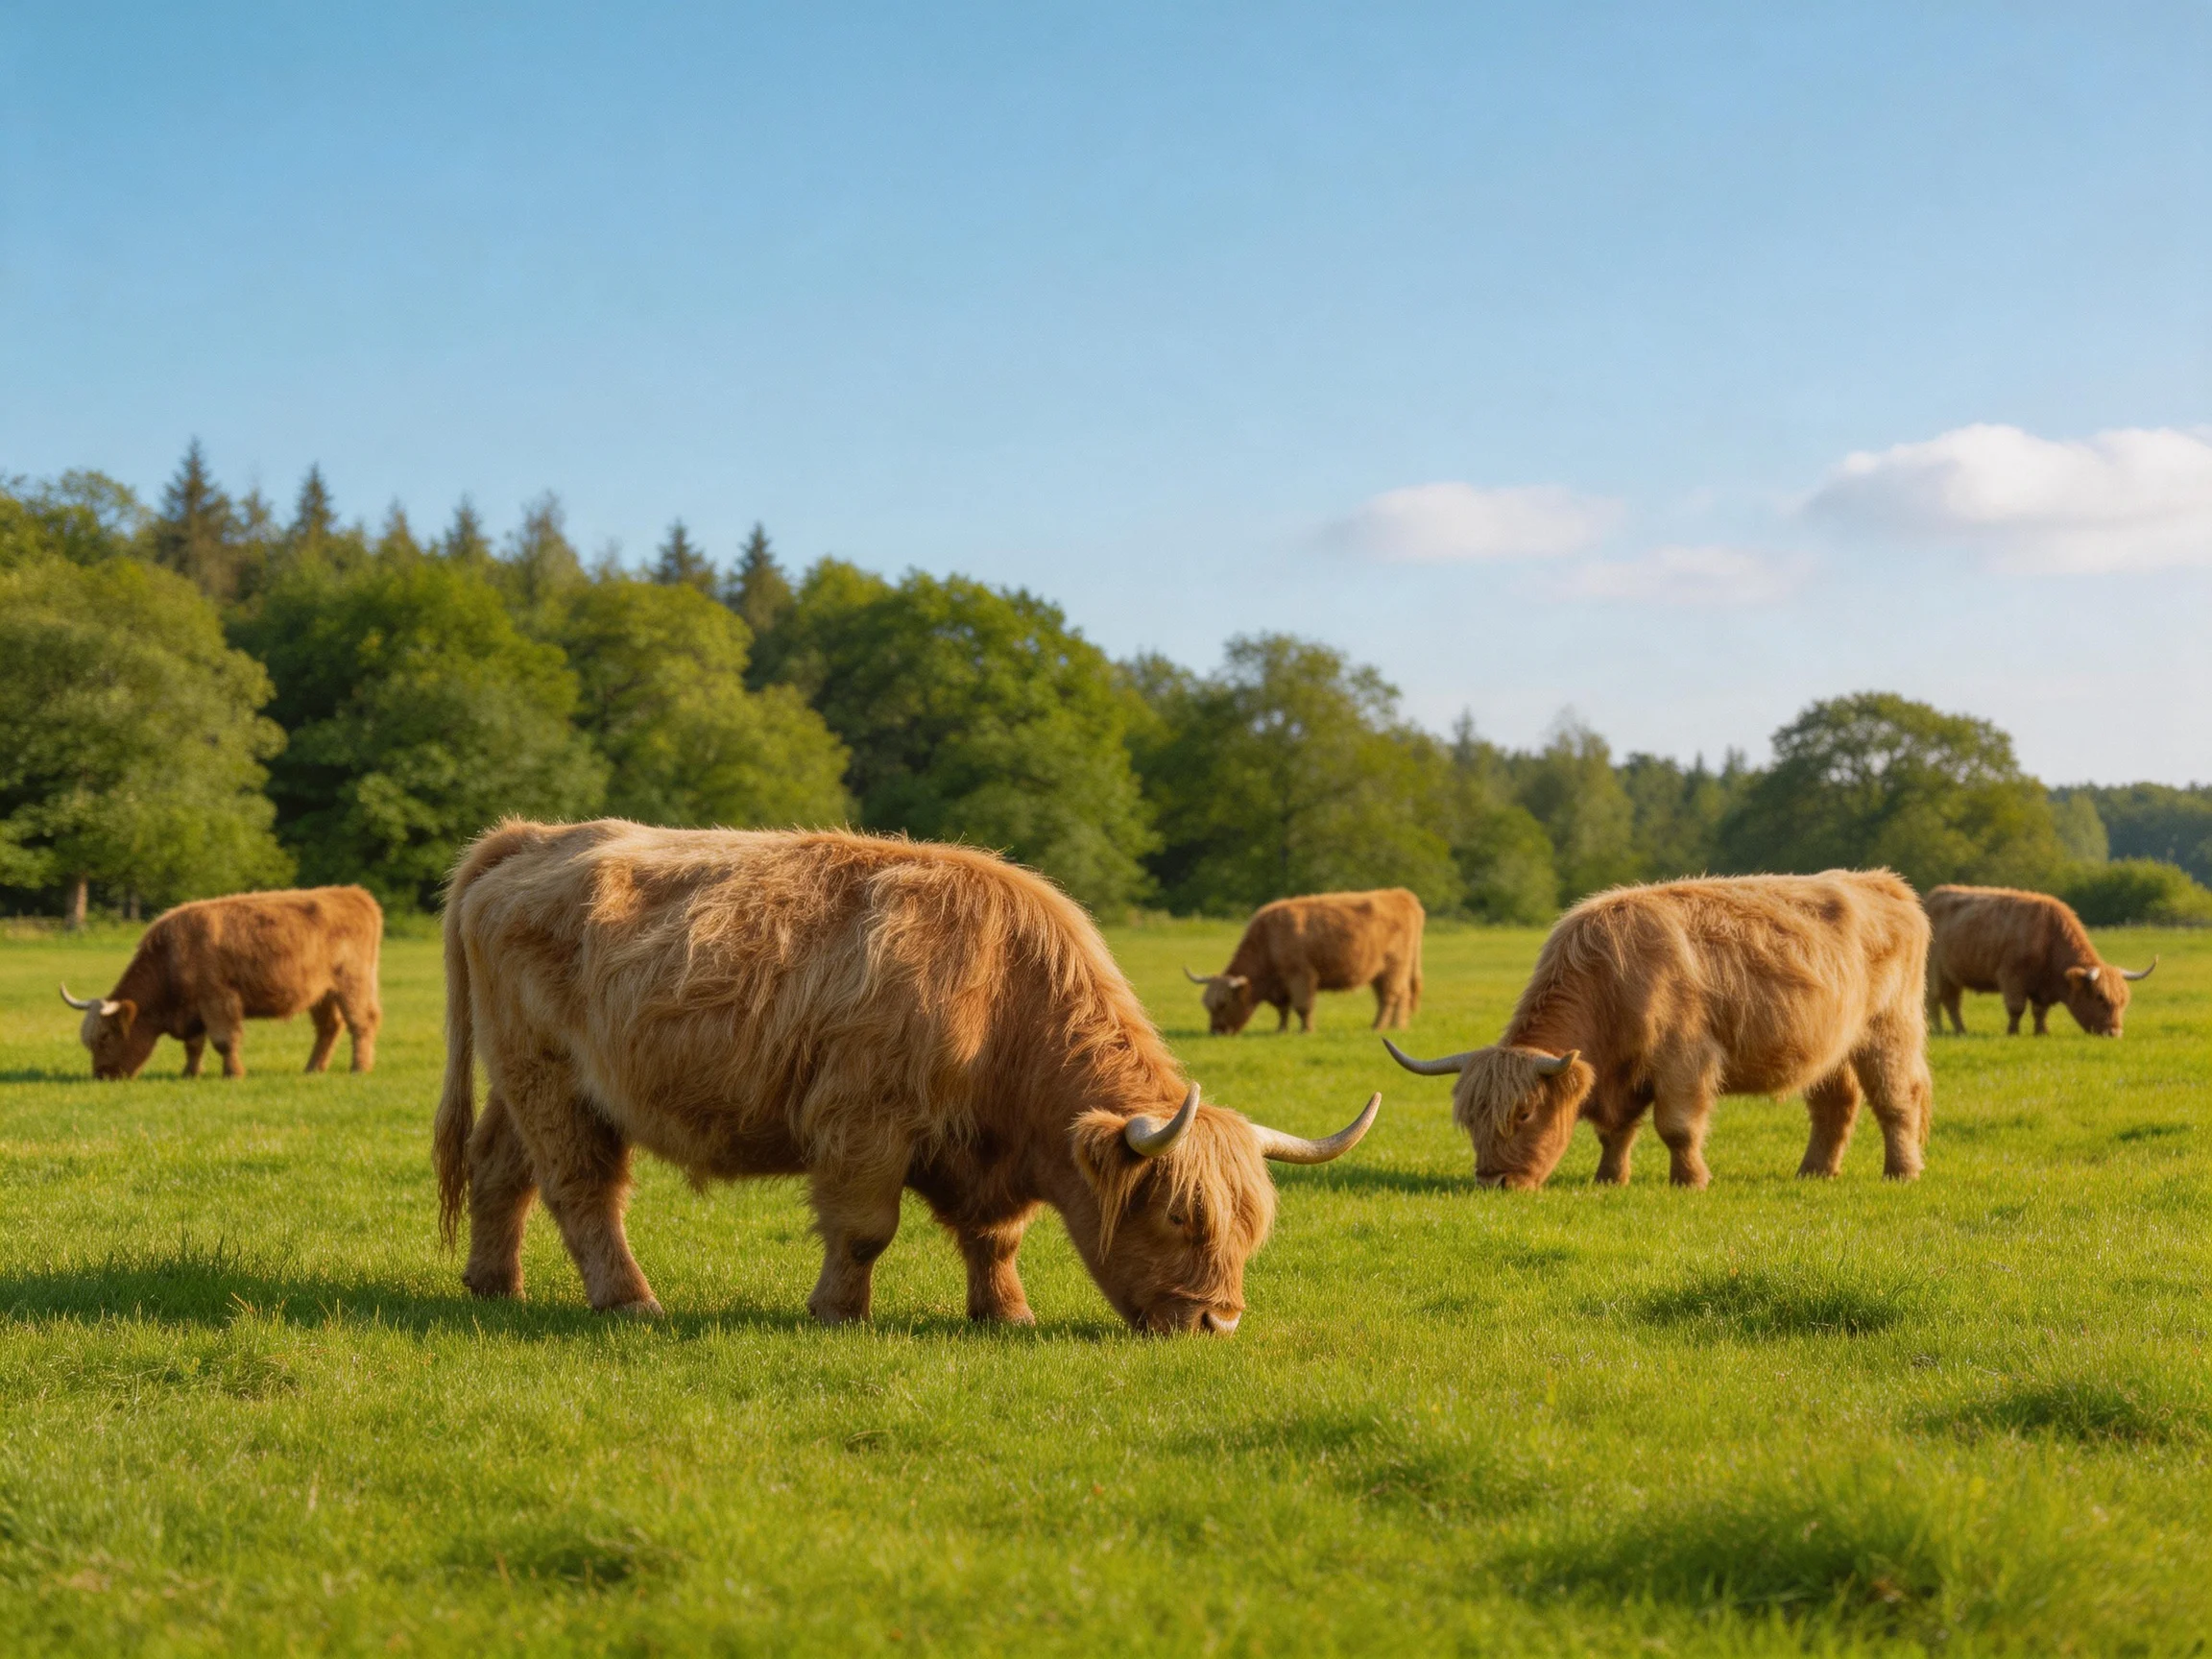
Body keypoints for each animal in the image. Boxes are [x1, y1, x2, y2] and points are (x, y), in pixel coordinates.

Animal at [59, 886, 383, 1080]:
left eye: (105, 1036)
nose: (102, 1075)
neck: (172, 955)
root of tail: (352, 894)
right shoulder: (193, 1011)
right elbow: (193, 1046)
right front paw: (189, 1073)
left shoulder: (218, 1001)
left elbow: (224, 1041)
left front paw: (233, 1073)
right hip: (321, 994)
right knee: (329, 1027)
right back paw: (313, 1068)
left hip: (353, 984)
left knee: (361, 1023)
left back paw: (359, 1067)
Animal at [434, 821, 1380, 1334]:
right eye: (1181, 1215)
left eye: (1253, 1227)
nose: (1219, 1320)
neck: (1004, 998)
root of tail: (532, 838)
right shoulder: (863, 1122)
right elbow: (864, 1230)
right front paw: (838, 1311)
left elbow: (996, 1238)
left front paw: (1006, 1311)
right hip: (554, 1078)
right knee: (583, 1190)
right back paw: (629, 1300)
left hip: (521, 1082)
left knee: (500, 1171)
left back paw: (494, 1283)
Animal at [1185, 888, 1425, 1036]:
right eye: (1207, 1005)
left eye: (1223, 1004)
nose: (1216, 1032)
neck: (1268, 939)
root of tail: (1400, 894)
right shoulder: (1281, 985)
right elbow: (1283, 1009)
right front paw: (1281, 1030)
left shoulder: (1301, 976)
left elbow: (1302, 1006)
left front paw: (1305, 1031)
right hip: (1382, 973)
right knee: (1400, 996)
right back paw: (1397, 1026)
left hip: (1394, 968)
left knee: (1389, 997)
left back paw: (1378, 1027)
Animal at [1381, 870, 1931, 1190]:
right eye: (1470, 1121)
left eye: (1525, 1113)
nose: (1491, 1182)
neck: (1610, 980)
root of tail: (1883, 881)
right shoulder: (1617, 1074)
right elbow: (1615, 1132)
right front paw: (1609, 1179)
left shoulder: (1684, 1060)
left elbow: (1677, 1127)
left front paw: (1690, 1181)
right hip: (1831, 1046)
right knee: (1835, 1106)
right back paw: (1814, 1172)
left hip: (1890, 1030)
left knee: (1896, 1099)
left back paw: (1901, 1172)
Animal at [1924, 884, 2155, 1038]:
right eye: (2100, 997)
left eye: (2123, 1001)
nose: (2114, 1033)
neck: (2047, 937)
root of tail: (1933, 896)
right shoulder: (2011, 977)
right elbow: (2016, 1008)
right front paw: (2013, 1032)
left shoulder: (2043, 988)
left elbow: (2040, 1011)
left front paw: (2041, 1032)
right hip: (1935, 972)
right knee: (1935, 1001)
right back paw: (1941, 1030)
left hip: (1953, 975)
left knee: (1952, 1003)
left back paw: (1960, 1030)